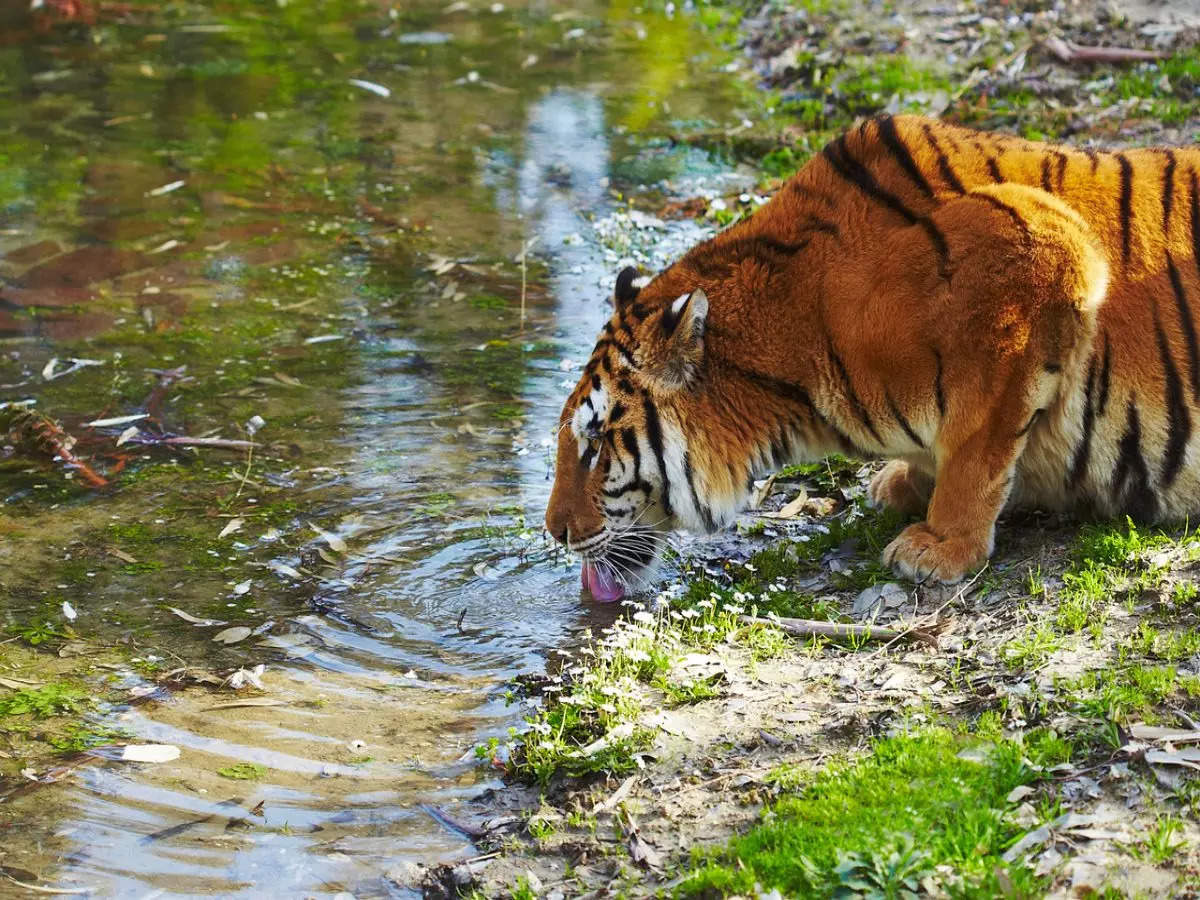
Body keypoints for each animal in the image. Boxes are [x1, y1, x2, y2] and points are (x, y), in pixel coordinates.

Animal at [549, 112, 1200, 600]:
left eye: (596, 443)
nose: (555, 533)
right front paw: (904, 484)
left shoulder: (1044, 246)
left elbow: (978, 443)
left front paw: (941, 545)